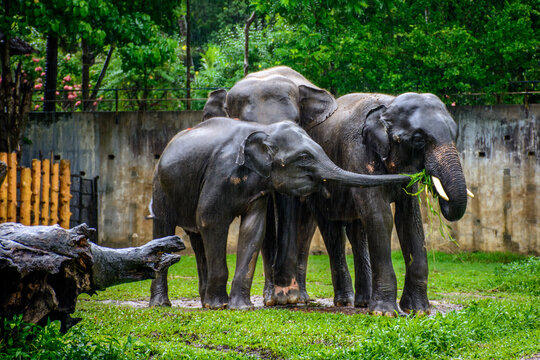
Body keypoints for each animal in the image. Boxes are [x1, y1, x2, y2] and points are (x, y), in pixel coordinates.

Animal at [148, 116, 410, 310]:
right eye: (304, 157)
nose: (410, 177)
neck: (263, 129)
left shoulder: (258, 187)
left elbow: (253, 228)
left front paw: (241, 308)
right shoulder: (220, 171)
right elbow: (211, 220)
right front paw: (219, 306)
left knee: (196, 237)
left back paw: (203, 302)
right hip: (159, 183)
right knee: (165, 227)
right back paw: (163, 304)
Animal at [172, 65, 338, 306]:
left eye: (296, 122)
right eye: (245, 123)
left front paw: (286, 296)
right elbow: (265, 216)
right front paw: (274, 298)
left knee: (306, 226)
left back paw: (301, 297)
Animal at [286, 92, 472, 316]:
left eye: (455, 134)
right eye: (418, 139)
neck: (388, 105)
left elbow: (409, 220)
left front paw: (418, 311)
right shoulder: (357, 154)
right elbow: (381, 216)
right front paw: (385, 313)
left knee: (357, 231)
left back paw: (363, 302)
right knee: (332, 232)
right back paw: (344, 302)